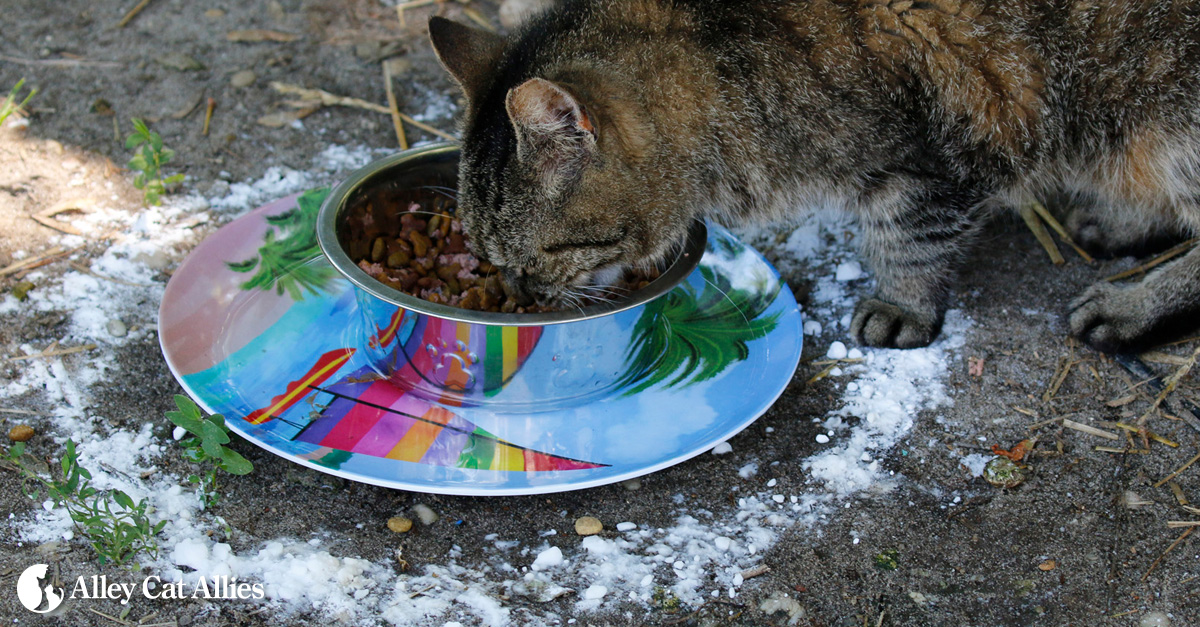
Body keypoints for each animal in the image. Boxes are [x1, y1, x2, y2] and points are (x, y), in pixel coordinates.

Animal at [427, 0, 1200, 350]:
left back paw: (1131, 304)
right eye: (485, 254)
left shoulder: (926, 159)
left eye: (538, 258)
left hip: (1173, 120)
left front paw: (901, 304)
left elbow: (907, 240)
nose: (518, 294)